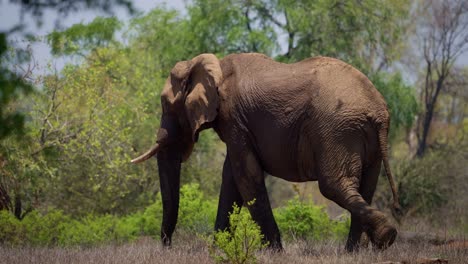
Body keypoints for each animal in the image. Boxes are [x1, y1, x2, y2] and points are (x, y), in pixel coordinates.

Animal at [133, 52, 402, 252]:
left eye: (166, 104)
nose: (167, 246)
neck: (213, 65)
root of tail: (378, 110)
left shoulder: (235, 117)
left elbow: (246, 175)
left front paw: (274, 252)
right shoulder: (238, 124)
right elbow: (231, 178)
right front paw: (218, 250)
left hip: (336, 129)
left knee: (333, 185)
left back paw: (386, 235)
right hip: (362, 137)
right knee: (365, 187)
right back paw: (357, 250)